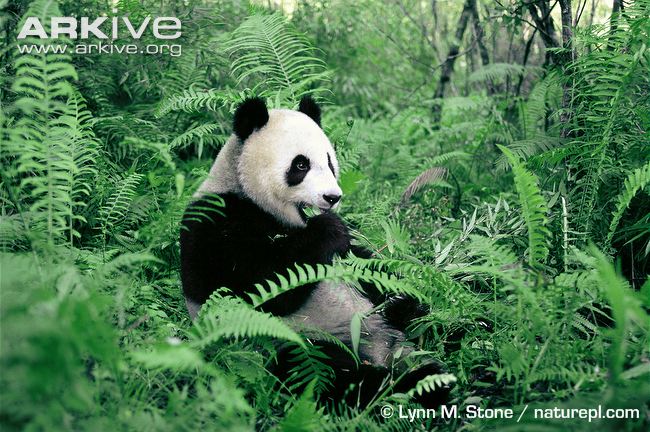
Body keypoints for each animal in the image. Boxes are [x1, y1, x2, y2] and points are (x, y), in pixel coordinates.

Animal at [180, 95, 448, 408]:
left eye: (330, 162)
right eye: (300, 165)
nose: (332, 197)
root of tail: (387, 350)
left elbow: (369, 266)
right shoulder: (215, 223)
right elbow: (258, 286)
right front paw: (330, 229)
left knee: (425, 319)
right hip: (297, 338)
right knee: (317, 370)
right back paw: (403, 384)